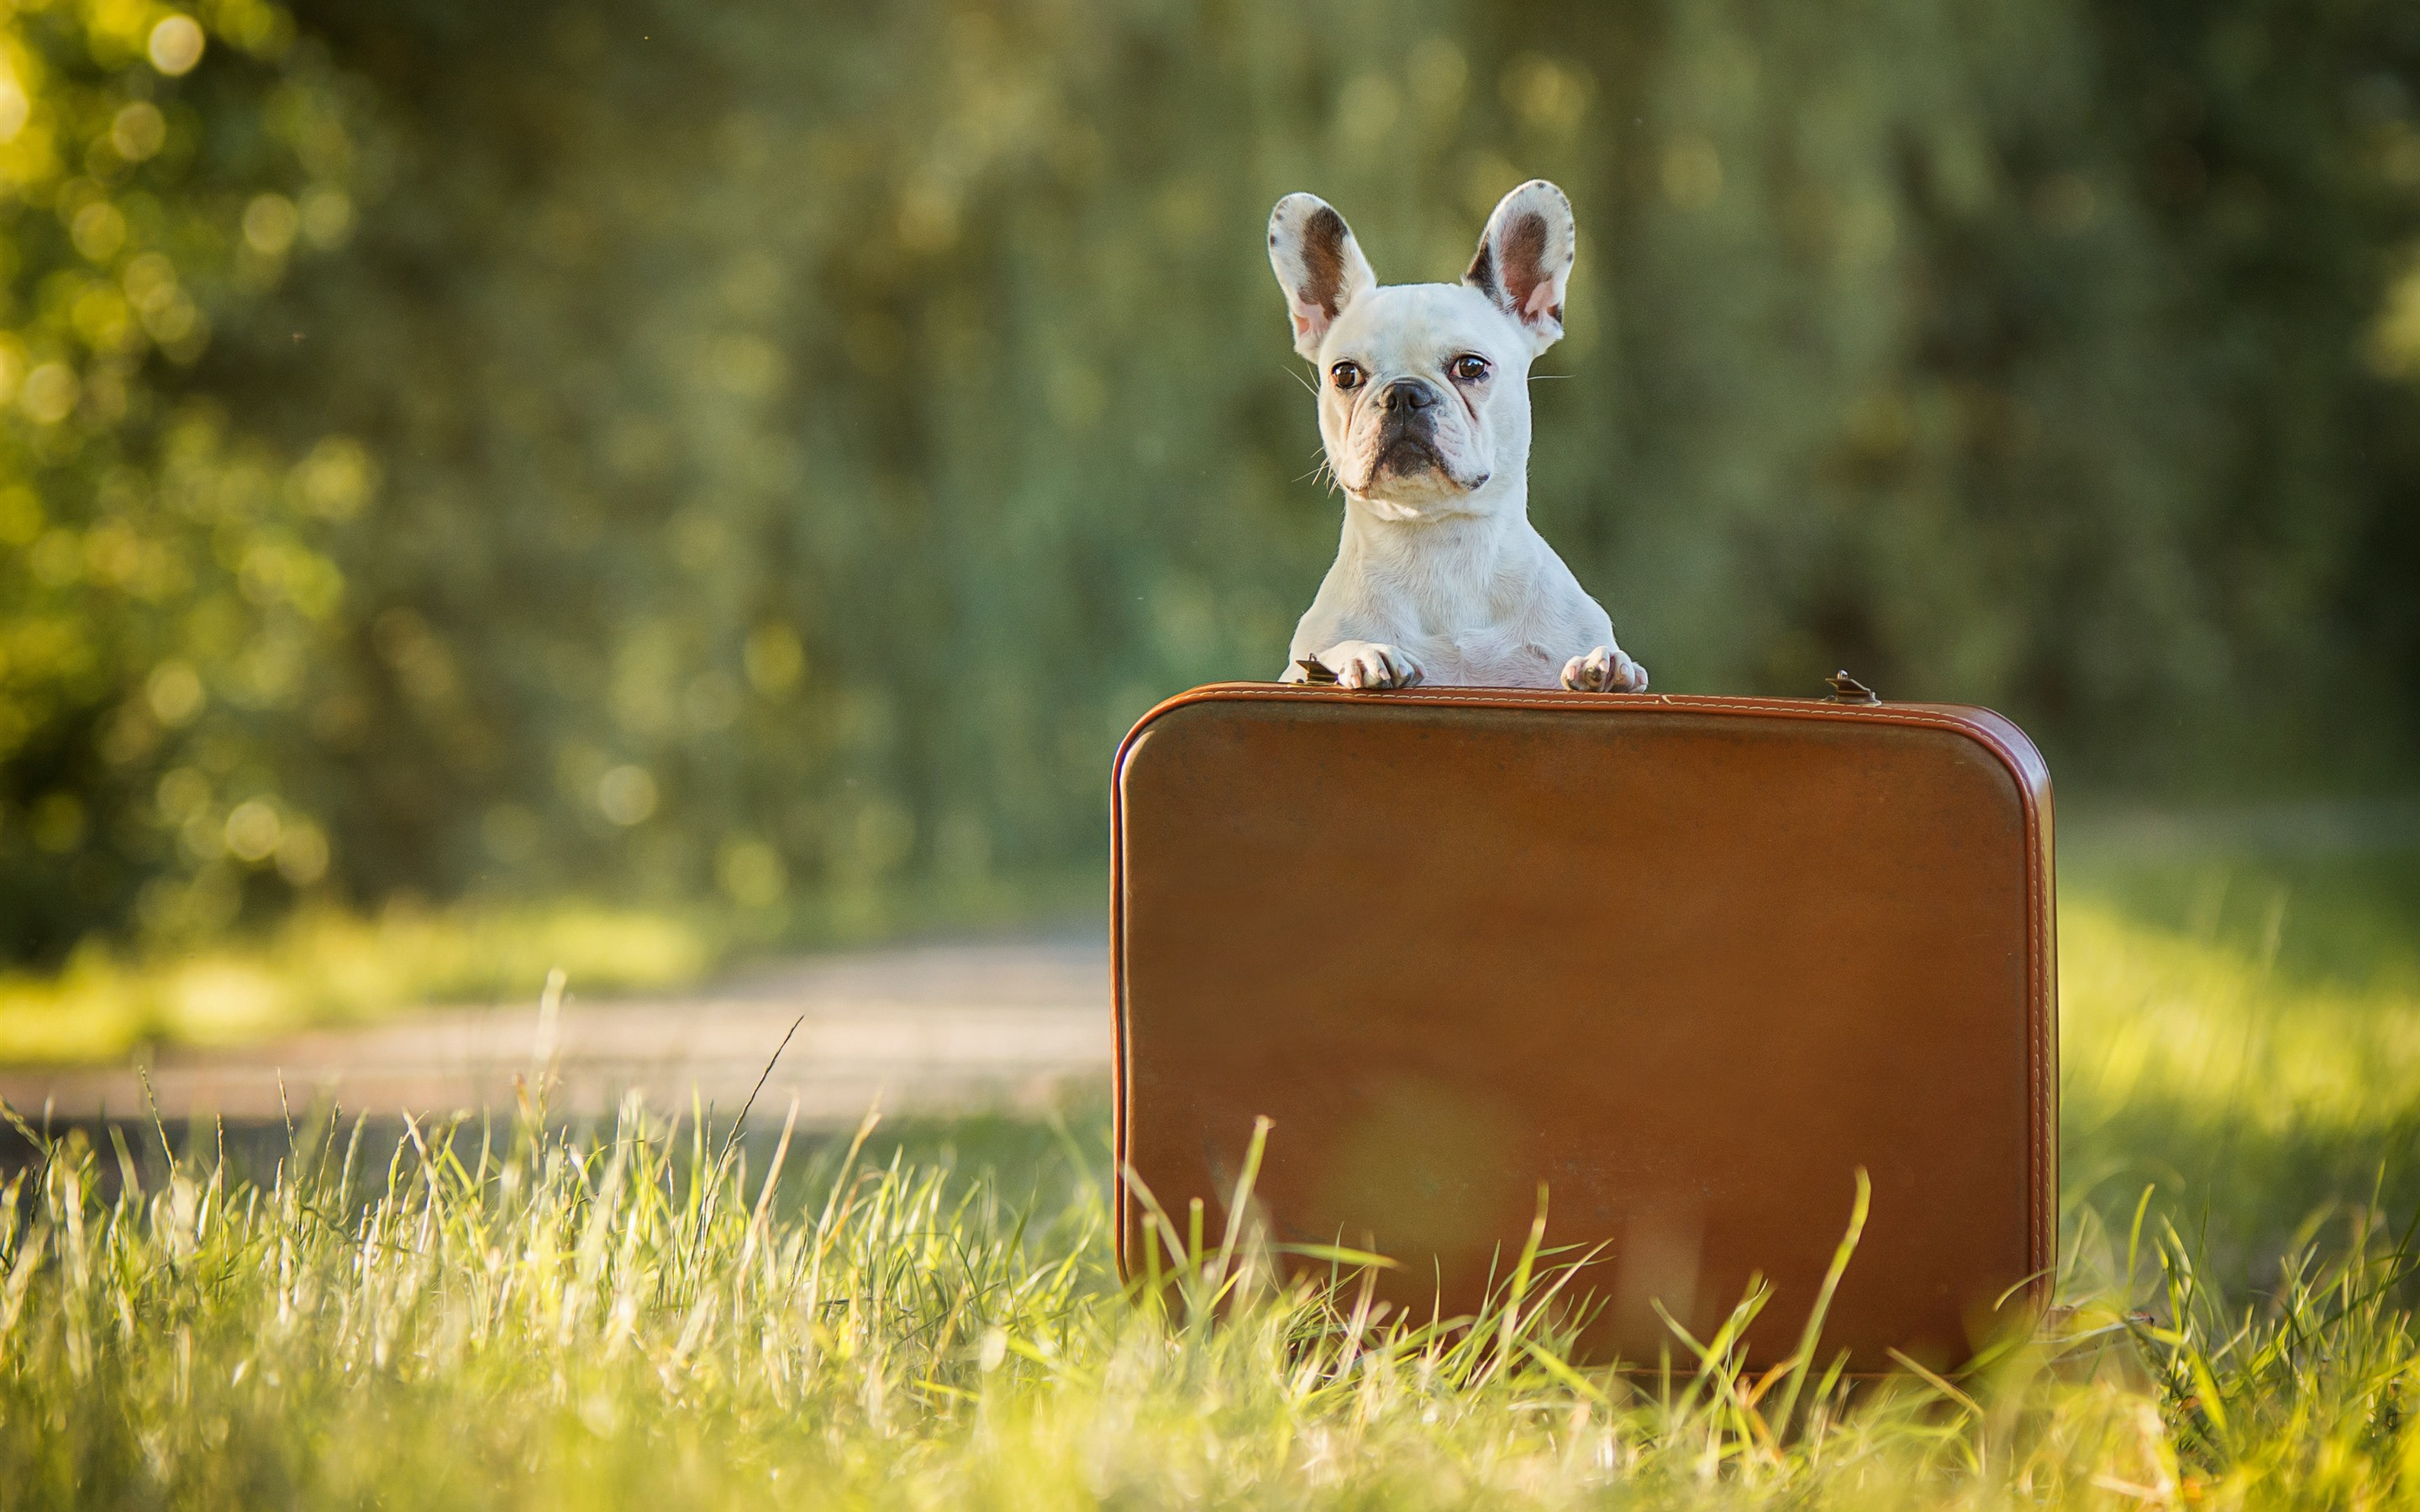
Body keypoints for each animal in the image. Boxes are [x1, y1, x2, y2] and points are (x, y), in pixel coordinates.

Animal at [1268, 181, 1645, 691]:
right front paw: (1363, 654)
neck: (1440, 544)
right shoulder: (1298, 664)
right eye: (1345, 374)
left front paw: (1608, 665)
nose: (1403, 394)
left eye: (1471, 367)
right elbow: (1325, 654)